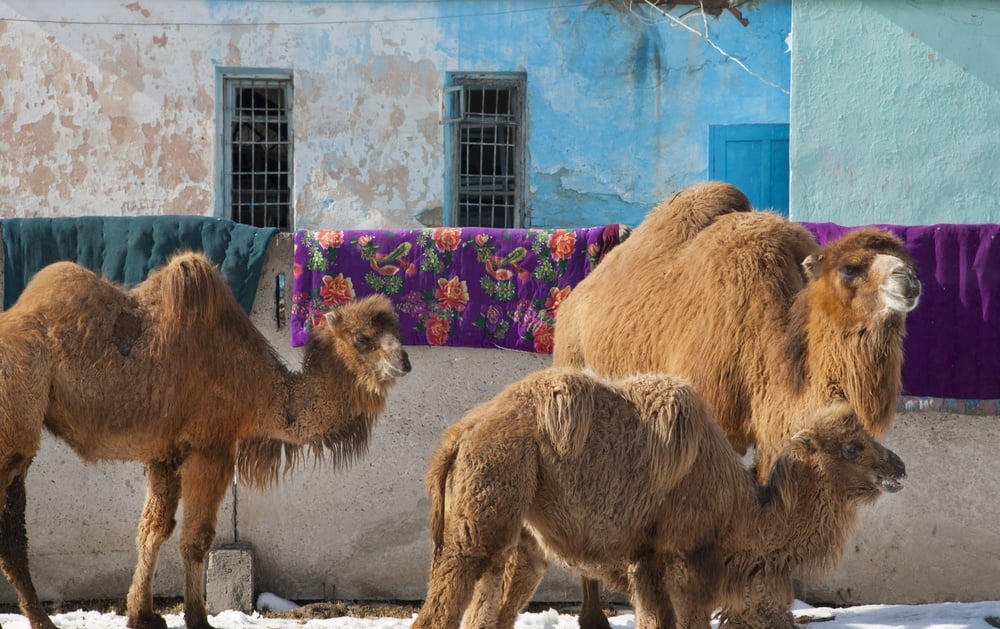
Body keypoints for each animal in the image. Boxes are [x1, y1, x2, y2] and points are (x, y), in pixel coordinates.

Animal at [0, 250, 410, 628]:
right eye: (362, 338)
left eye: (397, 332)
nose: (404, 362)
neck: (263, 388)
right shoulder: (212, 446)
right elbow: (196, 539)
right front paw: (198, 617)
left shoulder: (165, 454)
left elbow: (153, 530)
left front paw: (141, 614)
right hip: (16, 428)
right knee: (12, 536)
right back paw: (43, 620)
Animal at [410, 368, 912, 628]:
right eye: (852, 447)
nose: (899, 468)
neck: (740, 514)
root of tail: (460, 434)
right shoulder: (681, 562)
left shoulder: (647, 563)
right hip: (485, 505)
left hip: (521, 536)